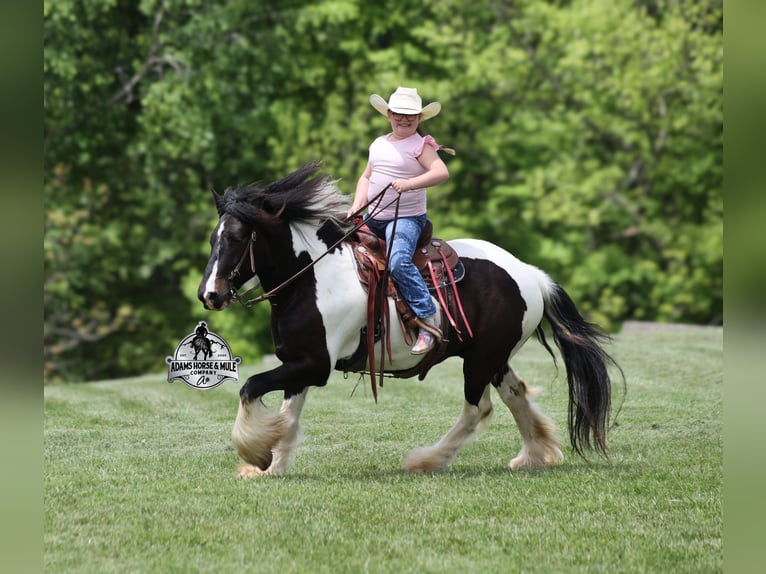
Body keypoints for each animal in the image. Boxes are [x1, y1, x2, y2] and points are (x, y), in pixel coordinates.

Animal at [198, 162, 621, 478]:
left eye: (237, 238)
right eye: (212, 239)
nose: (209, 295)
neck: (313, 277)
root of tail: (531, 274)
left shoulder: (314, 366)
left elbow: (250, 386)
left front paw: (256, 456)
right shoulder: (299, 363)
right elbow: (288, 416)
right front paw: (273, 466)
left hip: (480, 360)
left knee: (476, 409)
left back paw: (427, 460)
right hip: (494, 358)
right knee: (514, 394)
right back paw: (533, 455)